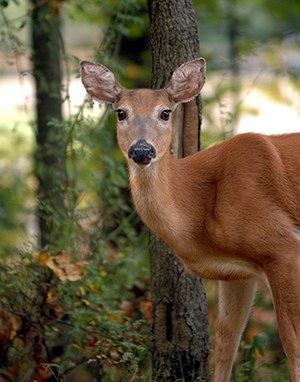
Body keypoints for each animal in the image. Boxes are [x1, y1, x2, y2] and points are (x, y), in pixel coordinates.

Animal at [81, 57, 300, 382]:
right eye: (121, 113)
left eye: (165, 112)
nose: (142, 150)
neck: (197, 217)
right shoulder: (239, 273)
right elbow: (226, 343)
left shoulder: (282, 247)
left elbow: (292, 345)